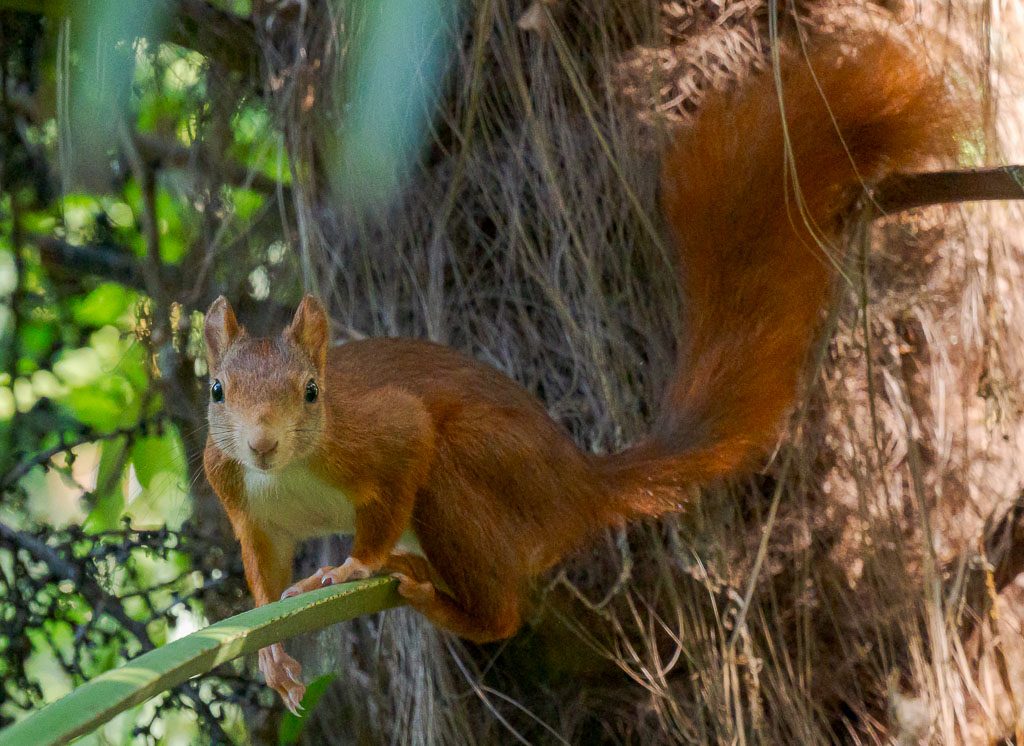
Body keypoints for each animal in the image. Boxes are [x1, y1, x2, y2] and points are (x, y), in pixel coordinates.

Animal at [203, 32, 955, 713]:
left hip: (480, 470)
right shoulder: (243, 504)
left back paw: (436, 598)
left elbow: (404, 448)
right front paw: (272, 657)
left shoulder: (376, 434)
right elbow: (263, 572)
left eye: (312, 393)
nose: (262, 443)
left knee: (500, 606)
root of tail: (578, 483)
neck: (286, 475)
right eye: (216, 390)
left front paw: (354, 565)